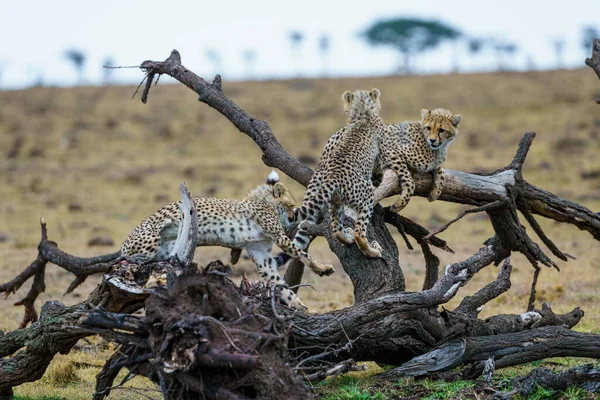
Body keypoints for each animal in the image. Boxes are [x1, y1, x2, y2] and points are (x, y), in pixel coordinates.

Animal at [119, 170, 336, 308]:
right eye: (290, 204)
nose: (292, 217)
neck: (264, 201)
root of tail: (124, 243)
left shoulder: (263, 257)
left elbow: (279, 283)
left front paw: (298, 305)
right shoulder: (280, 238)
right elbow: (303, 255)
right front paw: (323, 268)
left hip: (164, 249)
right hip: (151, 242)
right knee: (127, 261)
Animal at [290, 88, 384, 258]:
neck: (362, 112)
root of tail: (333, 176)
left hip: (335, 200)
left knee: (336, 230)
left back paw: (347, 236)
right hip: (365, 195)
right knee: (359, 233)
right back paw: (372, 250)